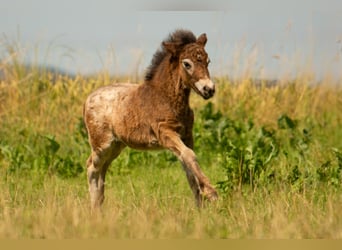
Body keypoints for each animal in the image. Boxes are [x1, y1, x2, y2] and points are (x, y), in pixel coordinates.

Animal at [84, 28, 220, 210]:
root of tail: (88, 99)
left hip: (116, 146)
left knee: (102, 170)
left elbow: (189, 168)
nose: (209, 89)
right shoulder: (165, 133)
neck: (166, 98)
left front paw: (200, 207)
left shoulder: (186, 136)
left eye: (208, 61)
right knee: (92, 167)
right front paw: (211, 193)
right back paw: (95, 209)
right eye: (187, 64)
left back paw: (99, 205)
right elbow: (190, 155)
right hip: (102, 144)